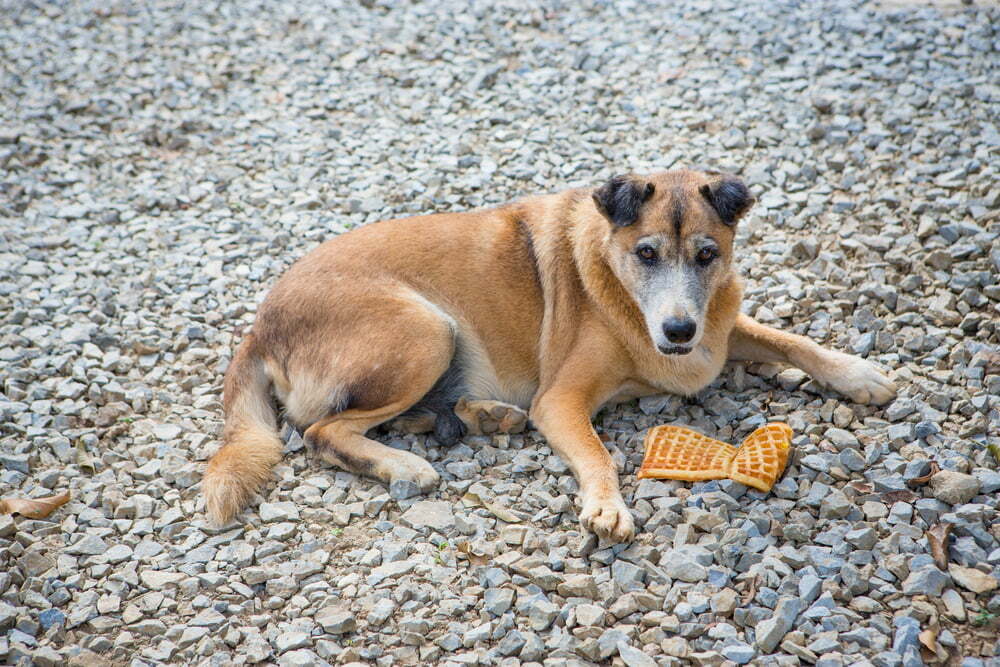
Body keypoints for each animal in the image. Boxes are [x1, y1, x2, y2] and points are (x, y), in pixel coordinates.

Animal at [203, 168, 900, 544]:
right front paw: (607, 505)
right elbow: (597, 452)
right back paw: (406, 465)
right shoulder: (562, 399)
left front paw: (858, 374)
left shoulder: (720, 330)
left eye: (707, 255)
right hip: (426, 329)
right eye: (646, 254)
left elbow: (789, 338)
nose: (678, 331)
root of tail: (260, 326)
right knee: (323, 431)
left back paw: (482, 416)